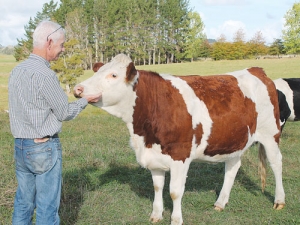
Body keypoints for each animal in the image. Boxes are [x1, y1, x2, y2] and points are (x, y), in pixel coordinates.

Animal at [74, 53, 284, 224]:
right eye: (98, 71)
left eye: (113, 75)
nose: (78, 88)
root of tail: (255, 70)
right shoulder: (154, 156)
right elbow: (157, 187)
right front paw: (156, 215)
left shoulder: (180, 156)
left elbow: (175, 192)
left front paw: (176, 220)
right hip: (234, 140)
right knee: (232, 168)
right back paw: (220, 202)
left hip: (270, 134)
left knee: (276, 163)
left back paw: (279, 201)